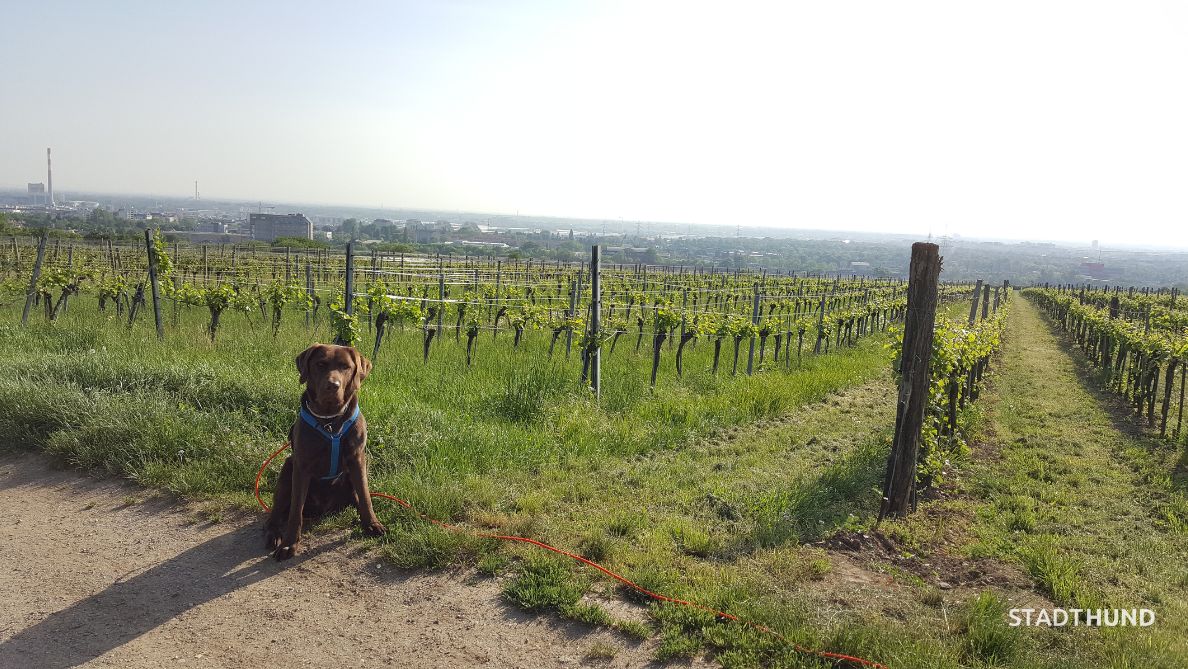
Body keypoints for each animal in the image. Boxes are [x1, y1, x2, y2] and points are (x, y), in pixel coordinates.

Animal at [264, 344, 384, 560]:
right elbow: (295, 510)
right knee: (276, 513)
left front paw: (371, 524)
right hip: (288, 467)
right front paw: (289, 544)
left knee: (356, 496)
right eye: (320, 364)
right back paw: (274, 533)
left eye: (345, 366)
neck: (330, 420)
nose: (332, 385)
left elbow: (365, 496)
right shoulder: (301, 466)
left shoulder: (358, 459)